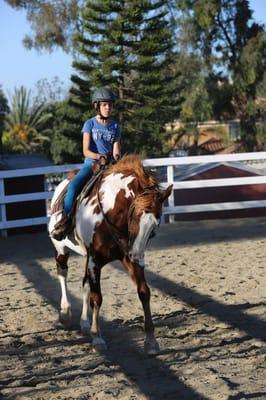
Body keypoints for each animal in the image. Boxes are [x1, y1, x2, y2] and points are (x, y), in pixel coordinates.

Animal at [48, 155, 172, 354]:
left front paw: (151, 341)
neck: (109, 214)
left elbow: (144, 292)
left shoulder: (126, 258)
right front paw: (97, 337)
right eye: (134, 216)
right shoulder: (95, 260)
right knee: (62, 274)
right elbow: (96, 298)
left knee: (84, 284)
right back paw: (65, 313)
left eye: (155, 225)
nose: (137, 255)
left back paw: (84, 322)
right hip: (60, 249)